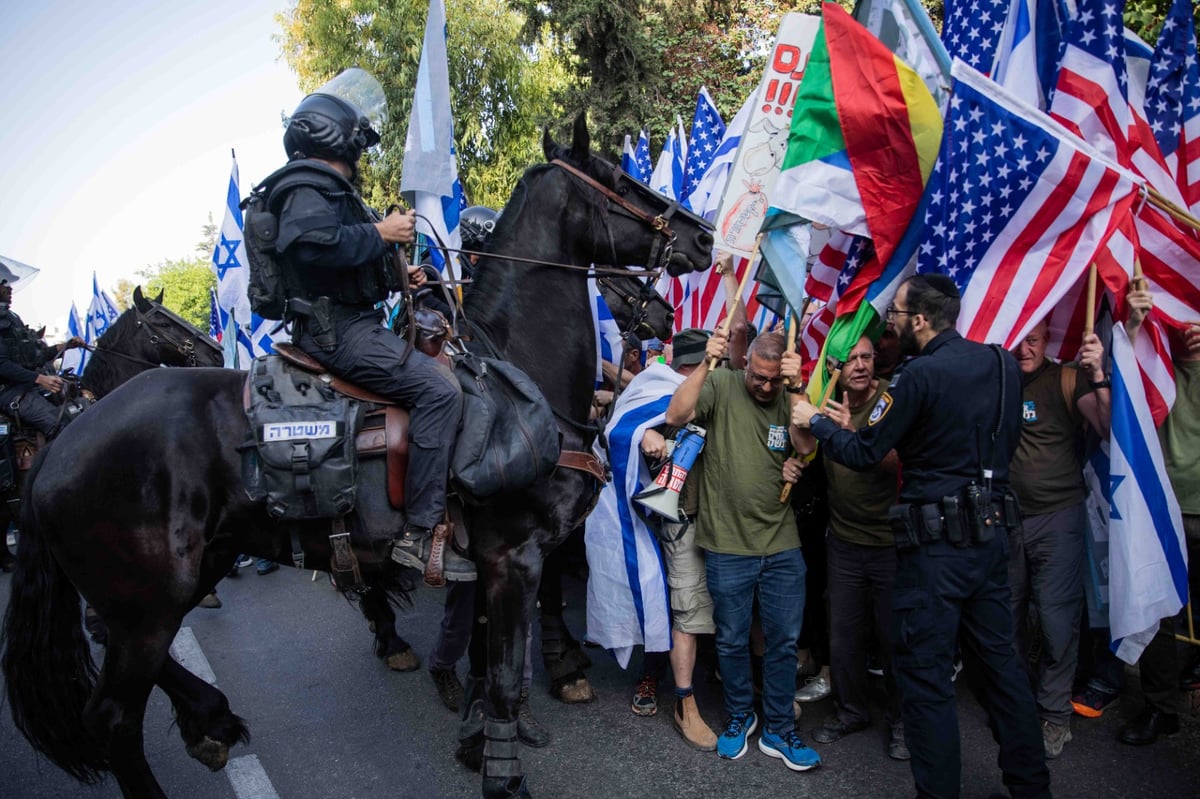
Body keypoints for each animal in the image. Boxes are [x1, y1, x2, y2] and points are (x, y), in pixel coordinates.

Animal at [2, 113, 710, 796]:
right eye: (618, 180)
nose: (704, 239)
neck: (515, 373)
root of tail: (63, 445)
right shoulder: (516, 558)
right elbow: (507, 680)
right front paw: (505, 778)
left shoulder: (484, 563)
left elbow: (485, 670)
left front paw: (475, 746)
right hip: (146, 603)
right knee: (111, 717)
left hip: (190, 574)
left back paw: (211, 718)